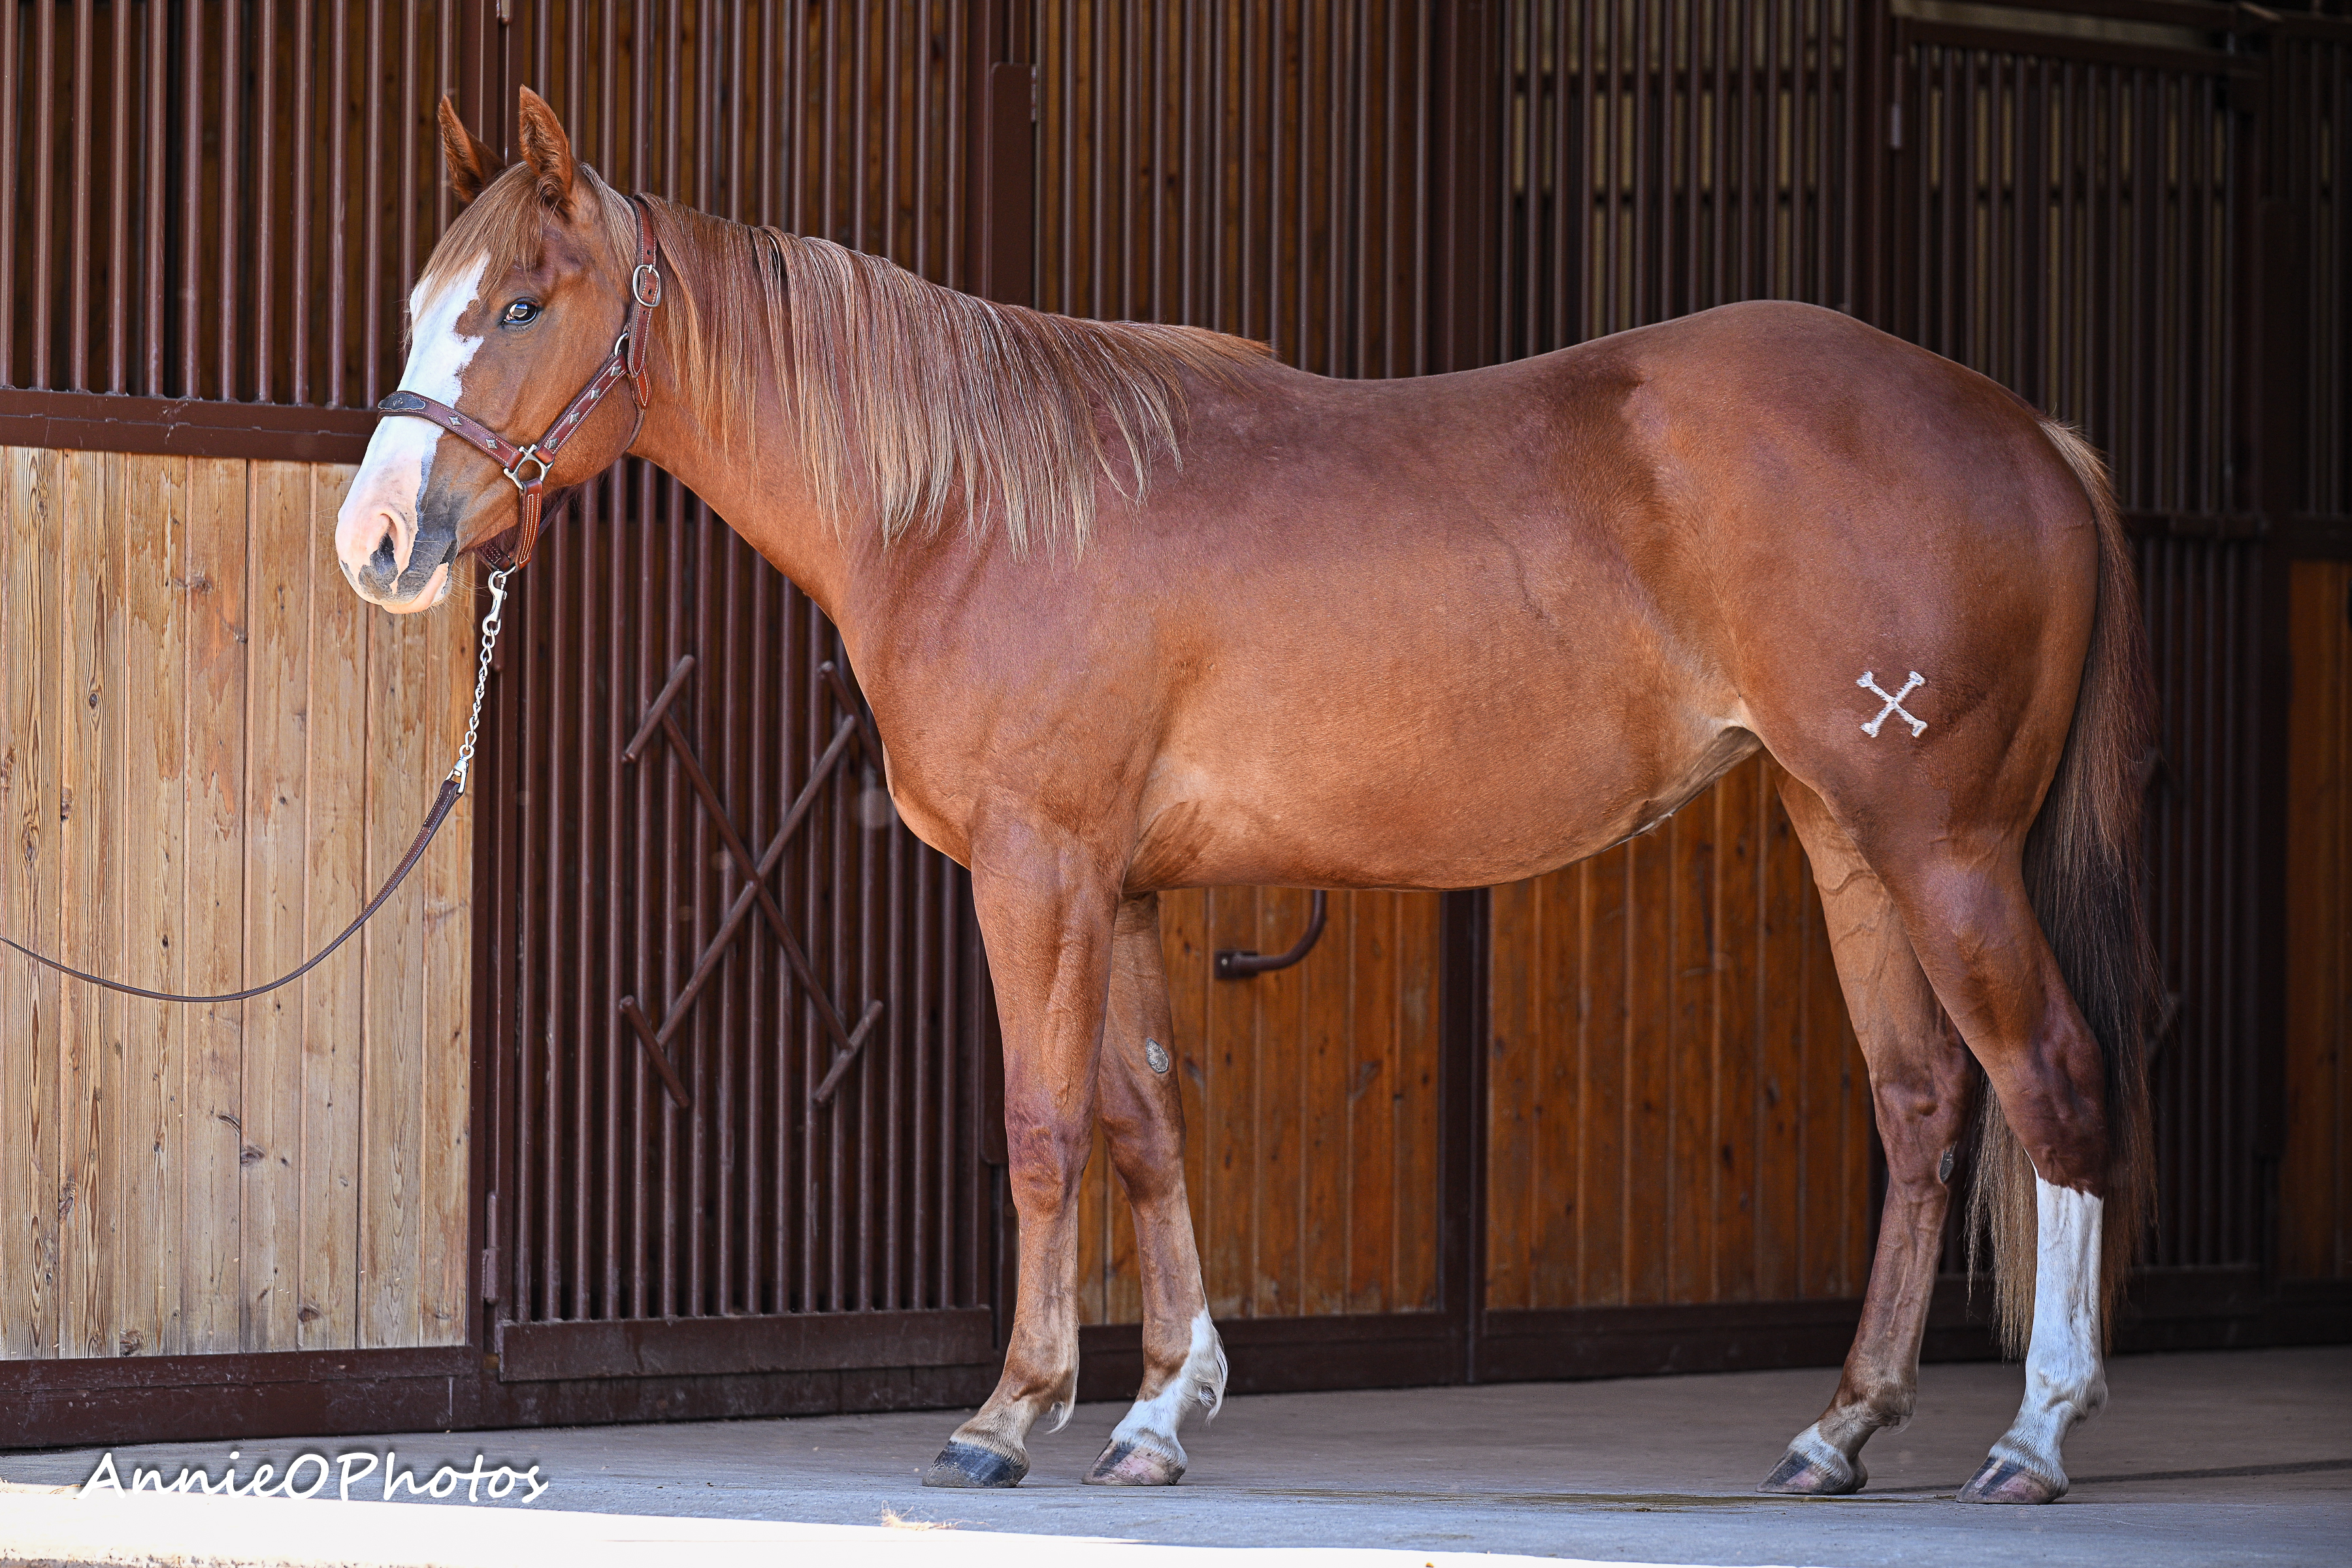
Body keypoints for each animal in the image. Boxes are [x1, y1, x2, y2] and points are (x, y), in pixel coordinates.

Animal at [341, 88, 2154, 1504]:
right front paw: (1158, 1409)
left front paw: (1009, 1413)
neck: (972, 506)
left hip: (1944, 845)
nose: (376, 542)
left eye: (522, 306)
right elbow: (1147, 1126)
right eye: (431, 300)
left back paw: (2037, 1436)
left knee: (2051, 1080)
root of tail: (2034, 435)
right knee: (1923, 1106)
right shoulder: (1126, 885)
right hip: (1846, 837)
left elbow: (1046, 1125)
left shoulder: (1038, 870)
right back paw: (1839, 1428)